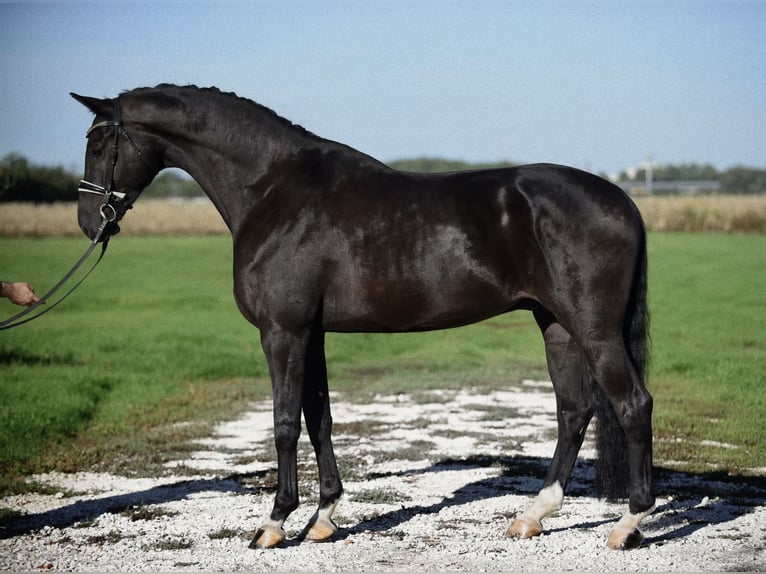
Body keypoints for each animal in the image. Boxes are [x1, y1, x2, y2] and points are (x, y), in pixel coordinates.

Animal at [72, 84, 656, 548]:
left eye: (98, 144)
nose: (87, 221)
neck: (272, 190)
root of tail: (624, 200)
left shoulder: (283, 332)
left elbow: (285, 423)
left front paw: (274, 524)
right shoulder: (311, 334)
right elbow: (320, 419)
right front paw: (324, 516)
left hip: (595, 331)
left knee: (632, 405)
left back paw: (628, 525)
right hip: (555, 326)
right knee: (574, 412)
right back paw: (533, 516)